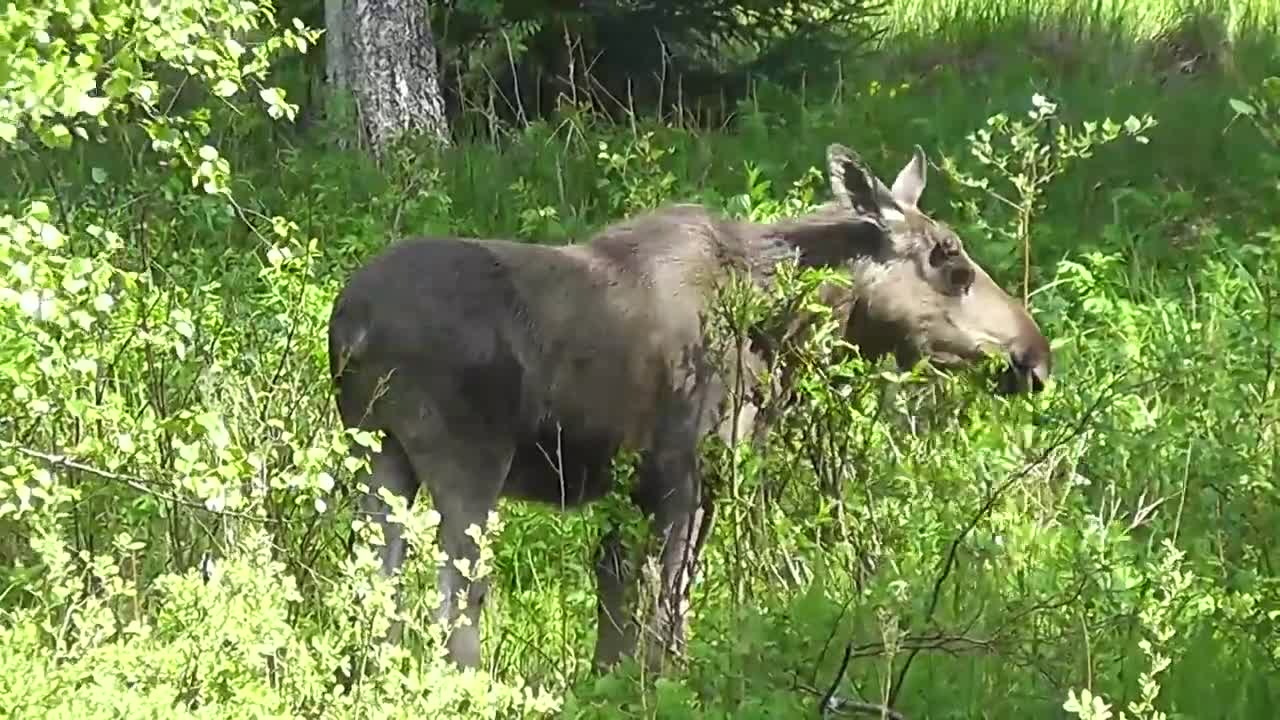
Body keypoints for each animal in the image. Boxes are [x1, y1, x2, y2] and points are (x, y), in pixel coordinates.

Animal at [322, 141, 1049, 671]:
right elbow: (669, 605)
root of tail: (349, 326)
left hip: (380, 455)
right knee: (457, 596)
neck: (779, 333)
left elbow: (617, 605)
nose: (1035, 358)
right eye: (950, 264)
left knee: (371, 581)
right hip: (465, 463)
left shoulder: (637, 488)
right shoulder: (687, 471)